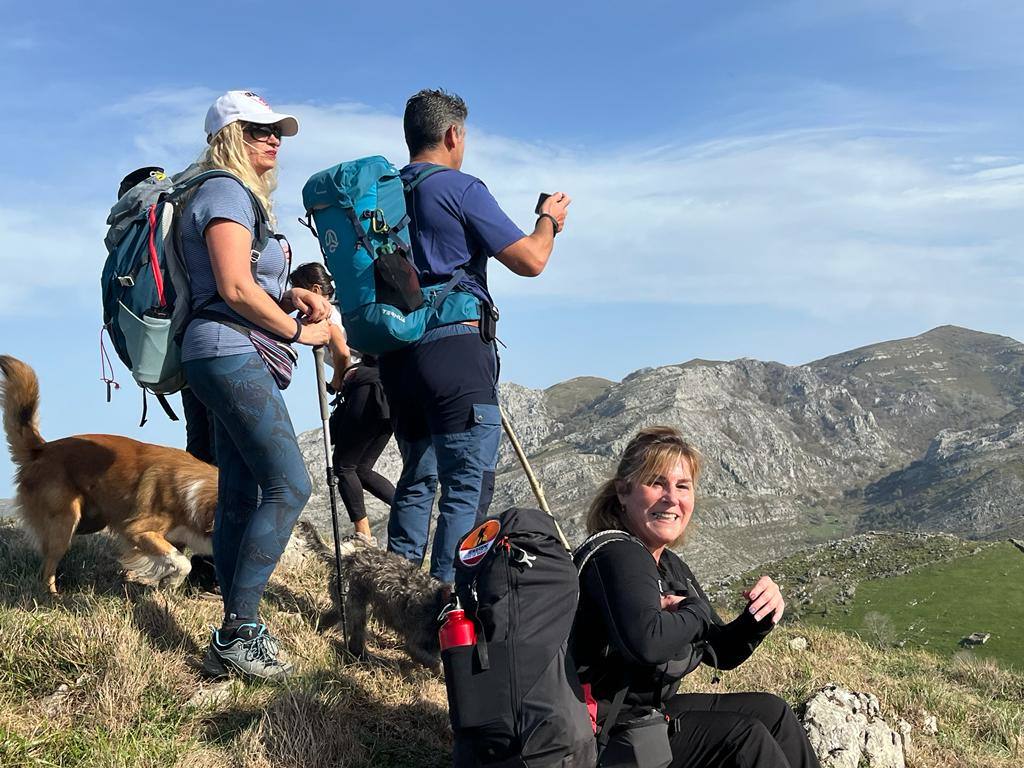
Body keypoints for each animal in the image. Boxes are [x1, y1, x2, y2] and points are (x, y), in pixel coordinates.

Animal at [1, 356, 218, 593]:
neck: (196, 491)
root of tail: (41, 448)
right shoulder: (136, 529)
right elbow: (183, 561)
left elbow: (176, 561)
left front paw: (168, 585)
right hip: (65, 521)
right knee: (47, 565)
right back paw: (51, 594)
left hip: (91, 520)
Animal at [299, 520, 452, 671]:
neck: (438, 606)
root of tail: (344, 559)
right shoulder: (415, 641)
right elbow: (434, 662)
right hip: (356, 608)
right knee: (356, 640)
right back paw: (366, 658)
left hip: (348, 604)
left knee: (331, 616)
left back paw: (318, 629)